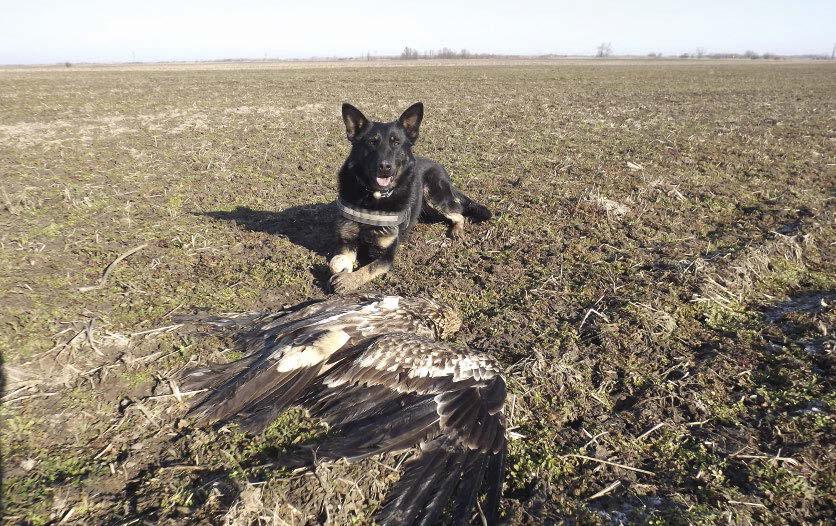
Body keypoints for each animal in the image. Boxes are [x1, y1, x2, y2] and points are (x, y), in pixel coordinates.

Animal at [330, 102, 494, 292]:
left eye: (396, 142)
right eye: (372, 142)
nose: (385, 166)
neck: (374, 197)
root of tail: (439, 167)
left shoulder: (387, 255)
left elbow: (369, 268)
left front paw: (348, 281)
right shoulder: (347, 240)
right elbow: (346, 259)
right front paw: (344, 273)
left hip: (434, 195)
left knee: (458, 213)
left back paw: (457, 230)